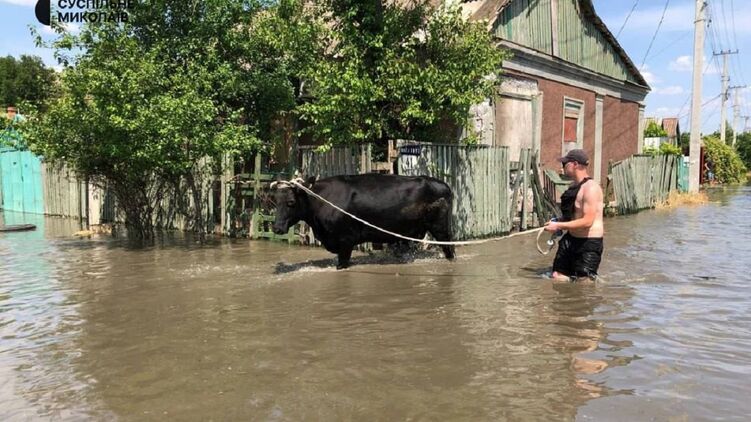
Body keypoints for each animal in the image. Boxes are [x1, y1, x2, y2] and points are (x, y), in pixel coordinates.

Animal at [272, 173, 455, 269]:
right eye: (274, 201)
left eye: (291, 202)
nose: (276, 228)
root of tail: (443, 185)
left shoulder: (345, 241)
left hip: (441, 228)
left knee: (449, 249)